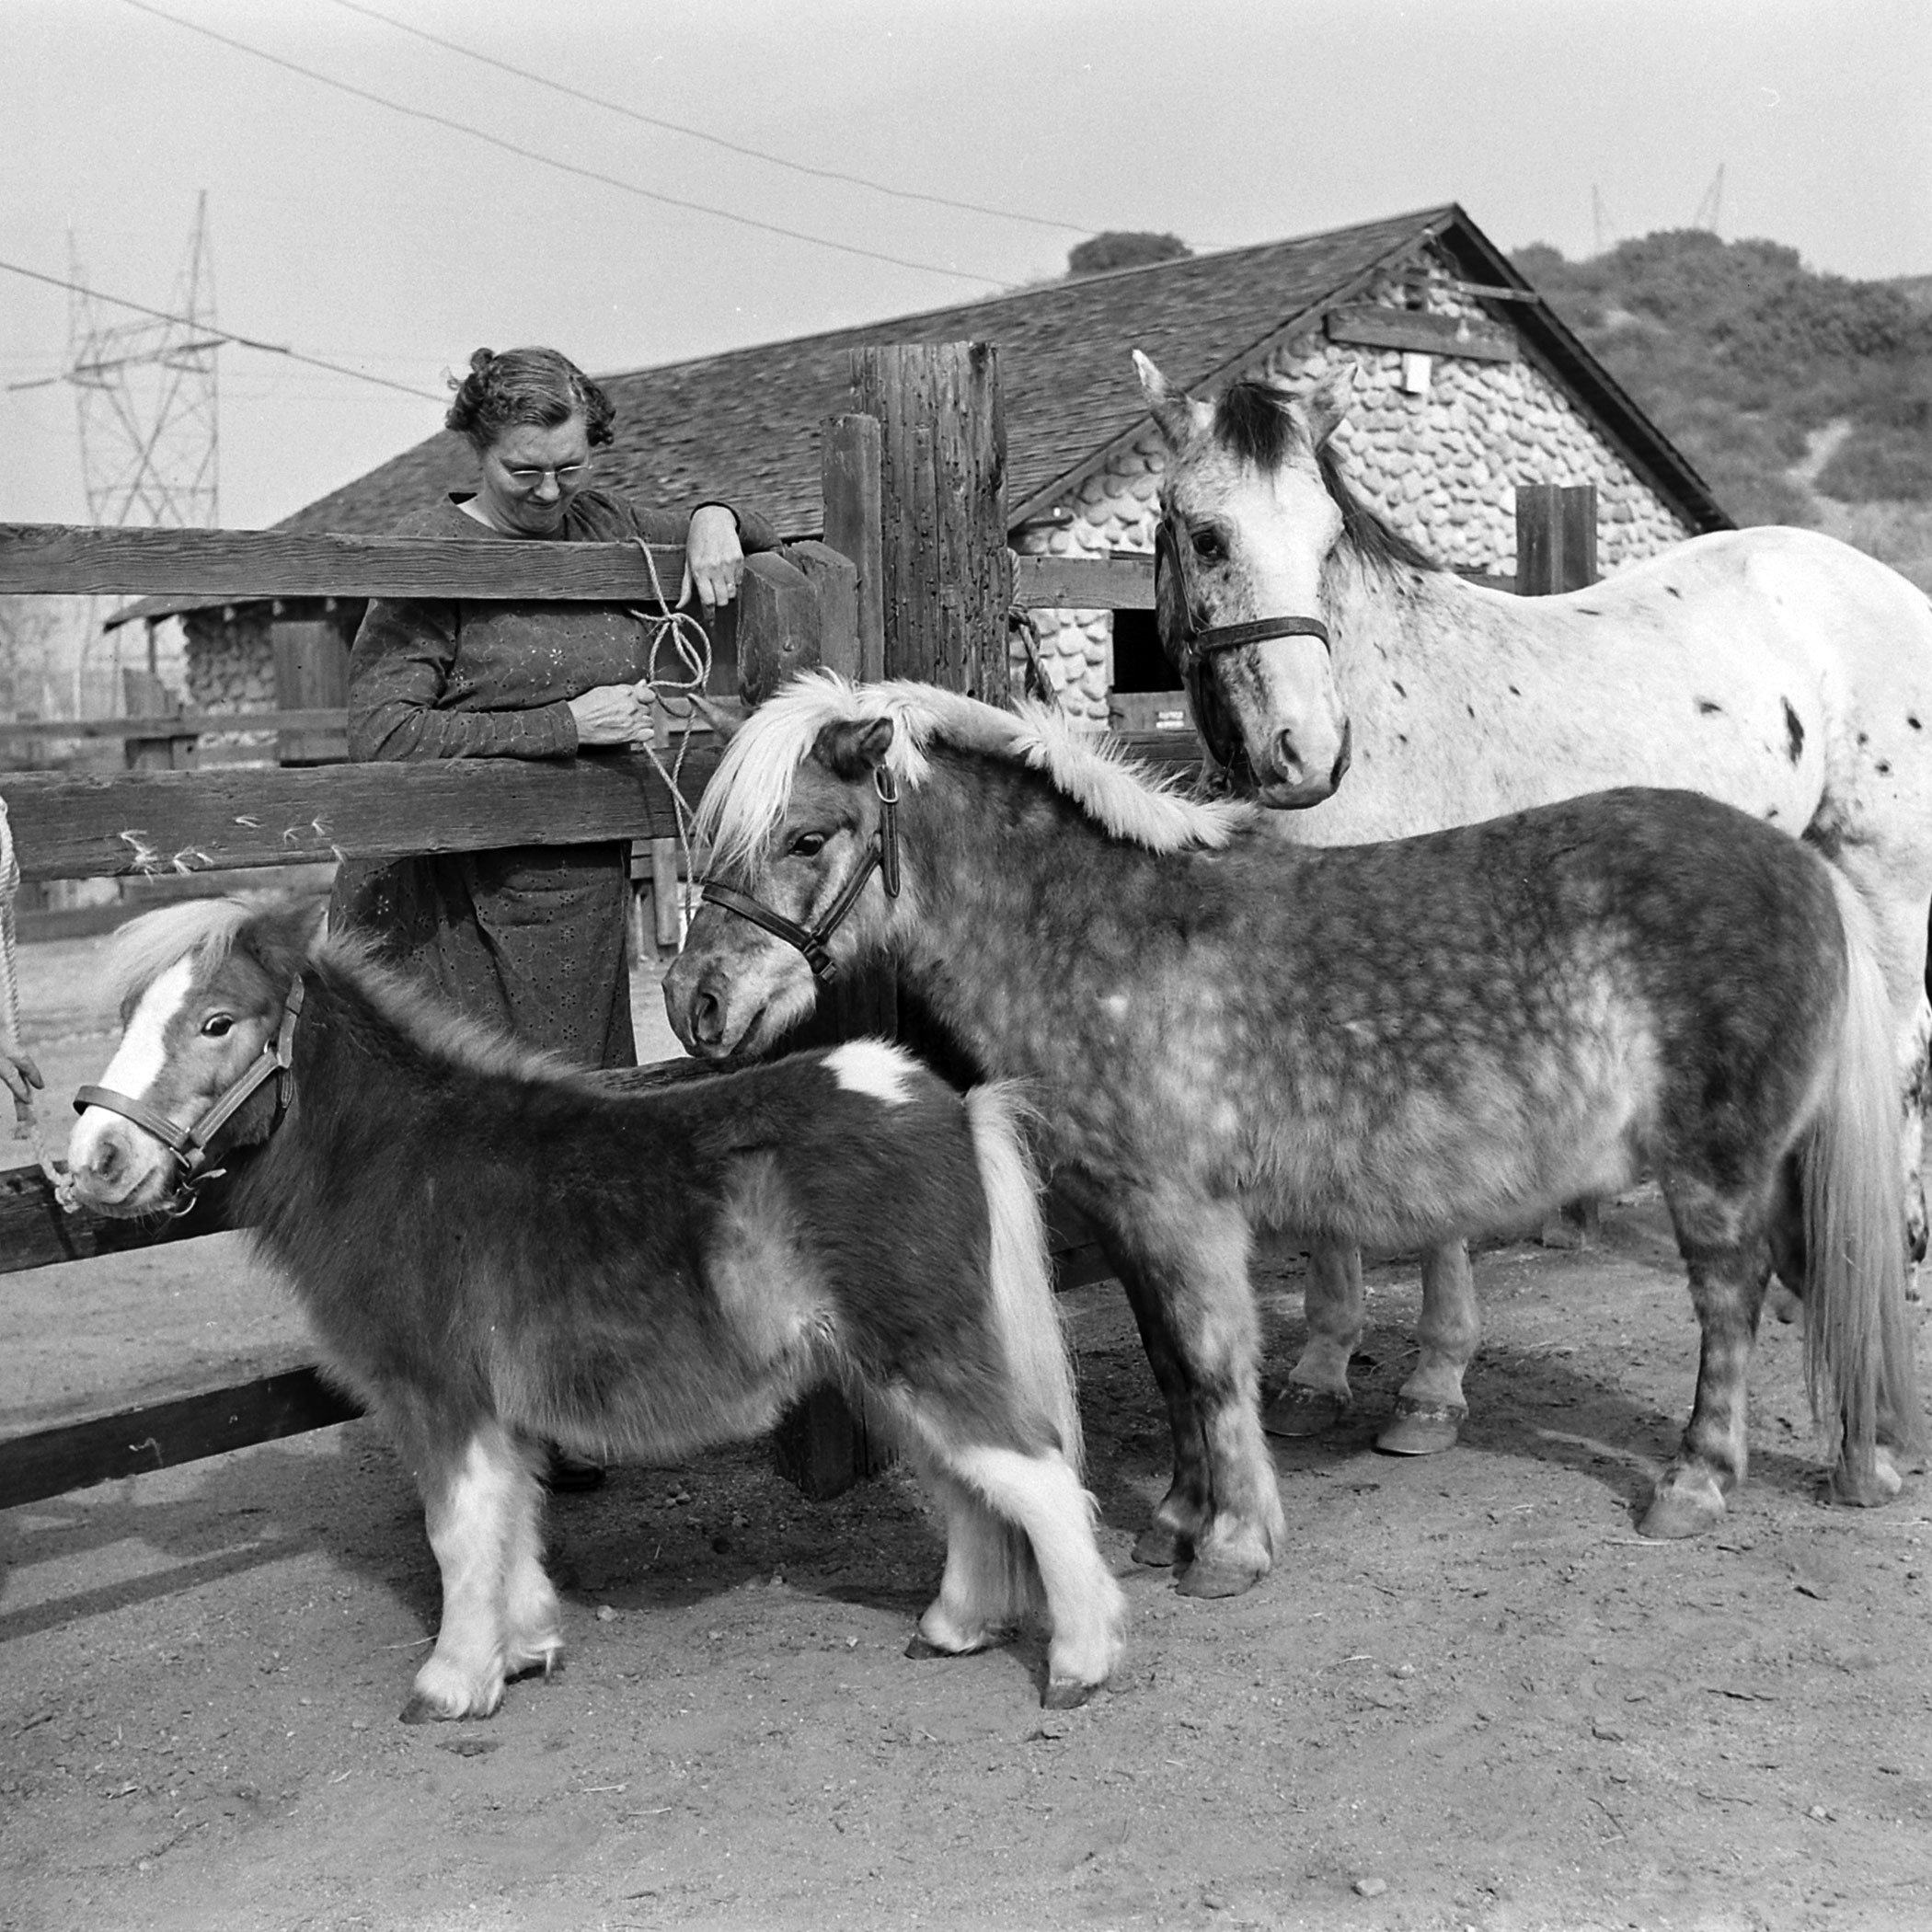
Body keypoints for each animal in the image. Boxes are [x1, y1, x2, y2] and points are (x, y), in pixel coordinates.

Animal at [63, 895, 1126, 1719]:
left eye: (217, 1022)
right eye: (129, 1016)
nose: (93, 1165)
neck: (399, 1164)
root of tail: (948, 1103)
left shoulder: (438, 1396)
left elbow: (456, 1530)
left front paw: (452, 1682)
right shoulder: (496, 1410)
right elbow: (513, 1520)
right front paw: (525, 1646)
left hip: (922, 1349)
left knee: (1035, 1475)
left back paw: (1080, 1663)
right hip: (883, 1365)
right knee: (967, 1481)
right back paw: (955, 1627)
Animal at [662, 672, 1924, 1598]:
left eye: (808, 837)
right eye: (713, 840)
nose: (695, 1003)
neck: (1105, 935)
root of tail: (1803, 867)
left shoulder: (1182, 1212)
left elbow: (1217, 1364)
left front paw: (1231, 1546)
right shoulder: (1126, 1217)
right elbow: (1172, 1365)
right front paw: (1177, 1516)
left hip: (1718, 1170)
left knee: (1734, 1300)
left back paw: (1698, 1485)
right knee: (1829, 1274)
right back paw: (1867, 1465)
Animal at [1134, 348, 1932, 1457]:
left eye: (1328, 538)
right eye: (1207, 536)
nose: (1308, 754)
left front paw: (1431, 1390)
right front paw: (1320, 1369)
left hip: (1885, 873)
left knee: (1902, 1049)